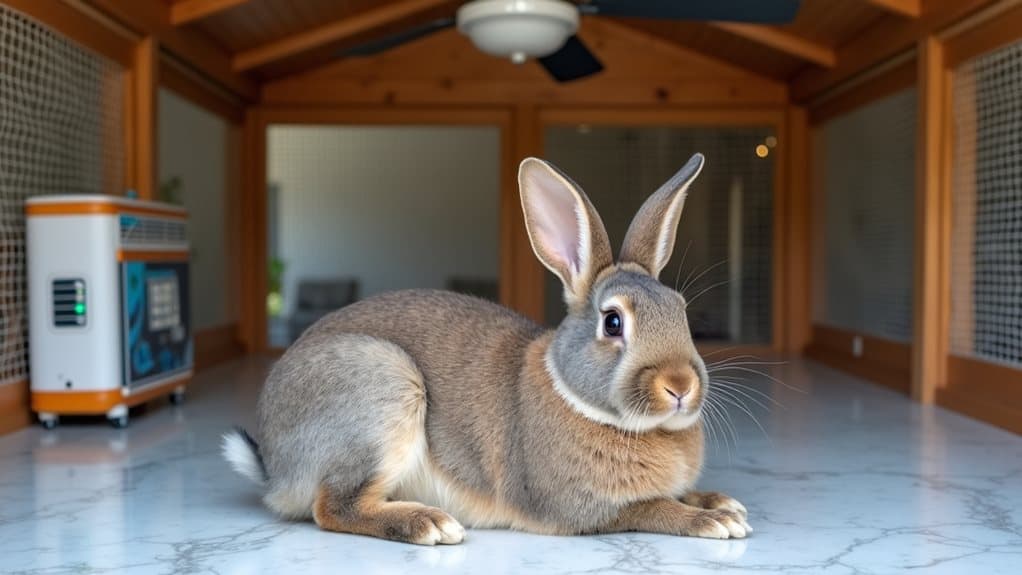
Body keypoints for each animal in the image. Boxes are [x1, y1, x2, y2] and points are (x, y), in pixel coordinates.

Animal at [222, 152, 751, 545]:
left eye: (681, 311)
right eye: (613, 321)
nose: (681, 385)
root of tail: (275, 468)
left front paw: (720, 502)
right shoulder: (582, 507)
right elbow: (653, 507)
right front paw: (714, 521)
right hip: (382, 391)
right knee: (333, 507)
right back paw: (428, 524)